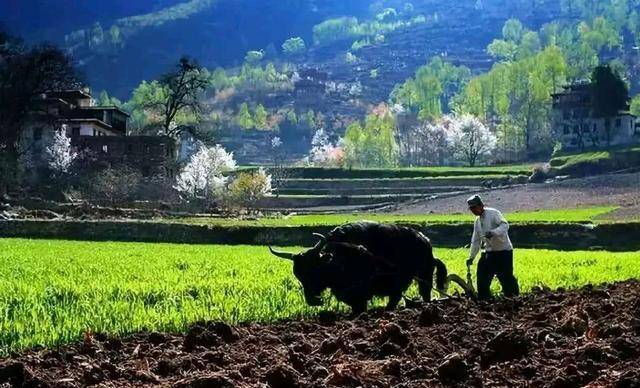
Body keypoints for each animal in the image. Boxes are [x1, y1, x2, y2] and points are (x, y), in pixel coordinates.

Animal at [268, 221, 448, 312]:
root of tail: (425, 241)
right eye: (299, 276)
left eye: (314, 270)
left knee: (424, 294)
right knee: (396, 297)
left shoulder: (361, 294)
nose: (313, 300)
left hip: (424, 276)